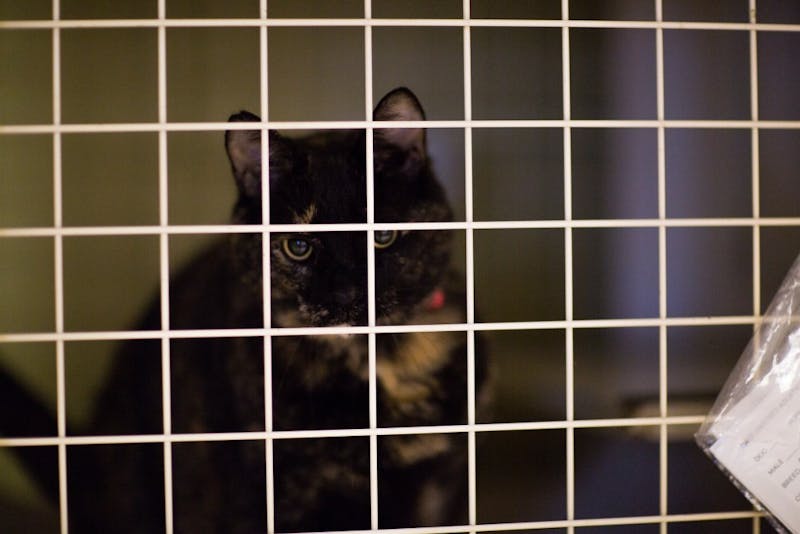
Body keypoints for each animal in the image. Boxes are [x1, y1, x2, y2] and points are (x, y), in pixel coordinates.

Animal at [0, 89, 490, 534]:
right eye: (298, 246)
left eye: (381, 235)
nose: (349, 293)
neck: (379, 366)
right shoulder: (261, 495)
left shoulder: (439, 489)